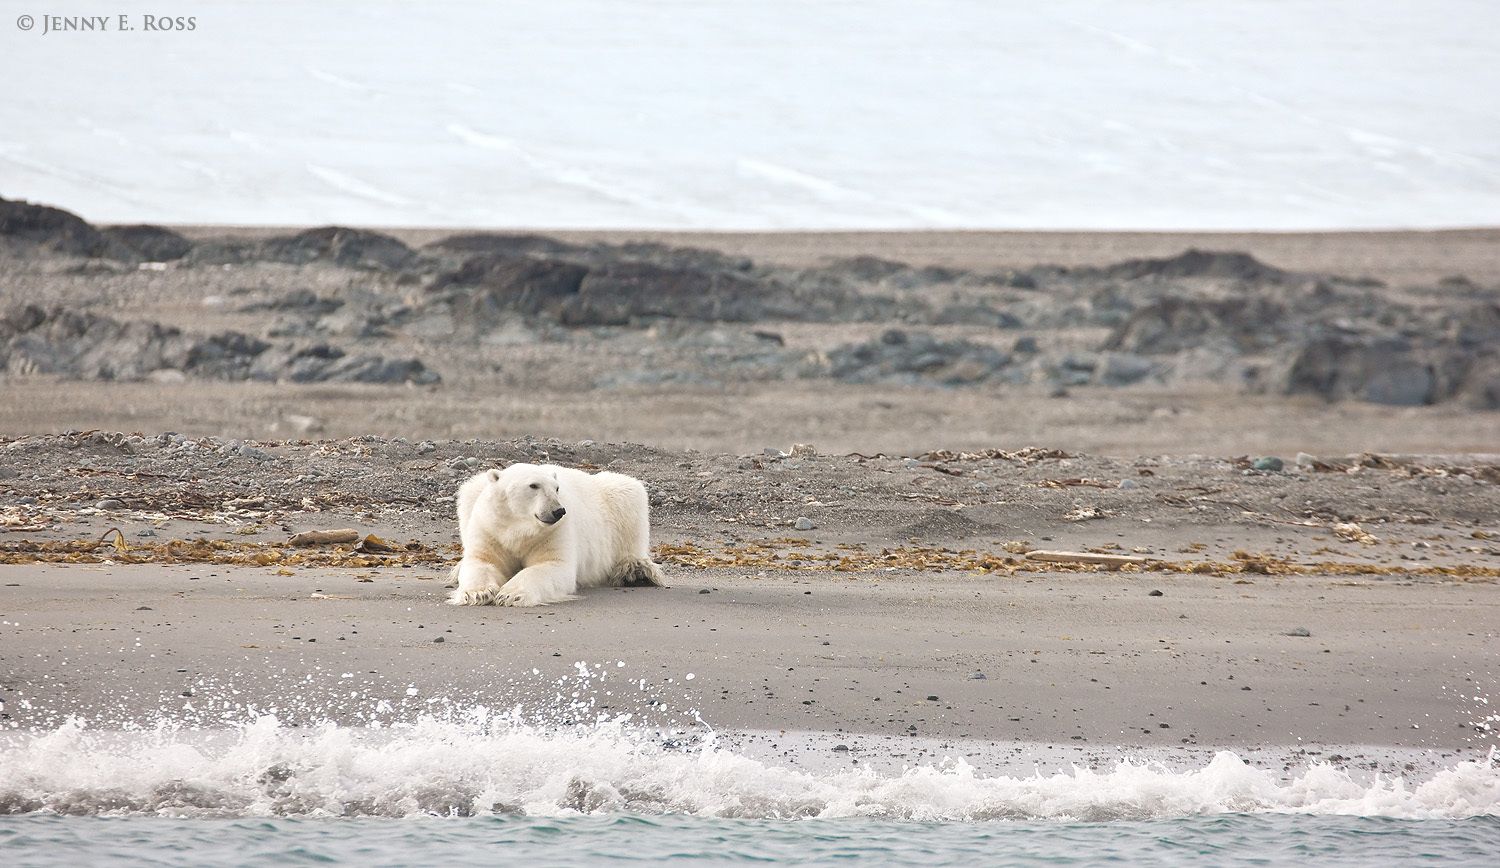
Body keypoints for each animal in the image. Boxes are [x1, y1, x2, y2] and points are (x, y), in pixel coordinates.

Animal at [447, 462, 665, 607]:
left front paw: (510, 594)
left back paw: (636, 573)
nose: (558, 511)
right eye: (533, 485)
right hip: (473, 492)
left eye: (557, 488)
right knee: (468, 492)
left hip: (617, 502)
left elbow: (551, 565)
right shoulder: (491, 528)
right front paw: (478, 593)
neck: (520, 527)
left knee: (630, 499)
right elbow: (483, 562)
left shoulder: (554, 532)